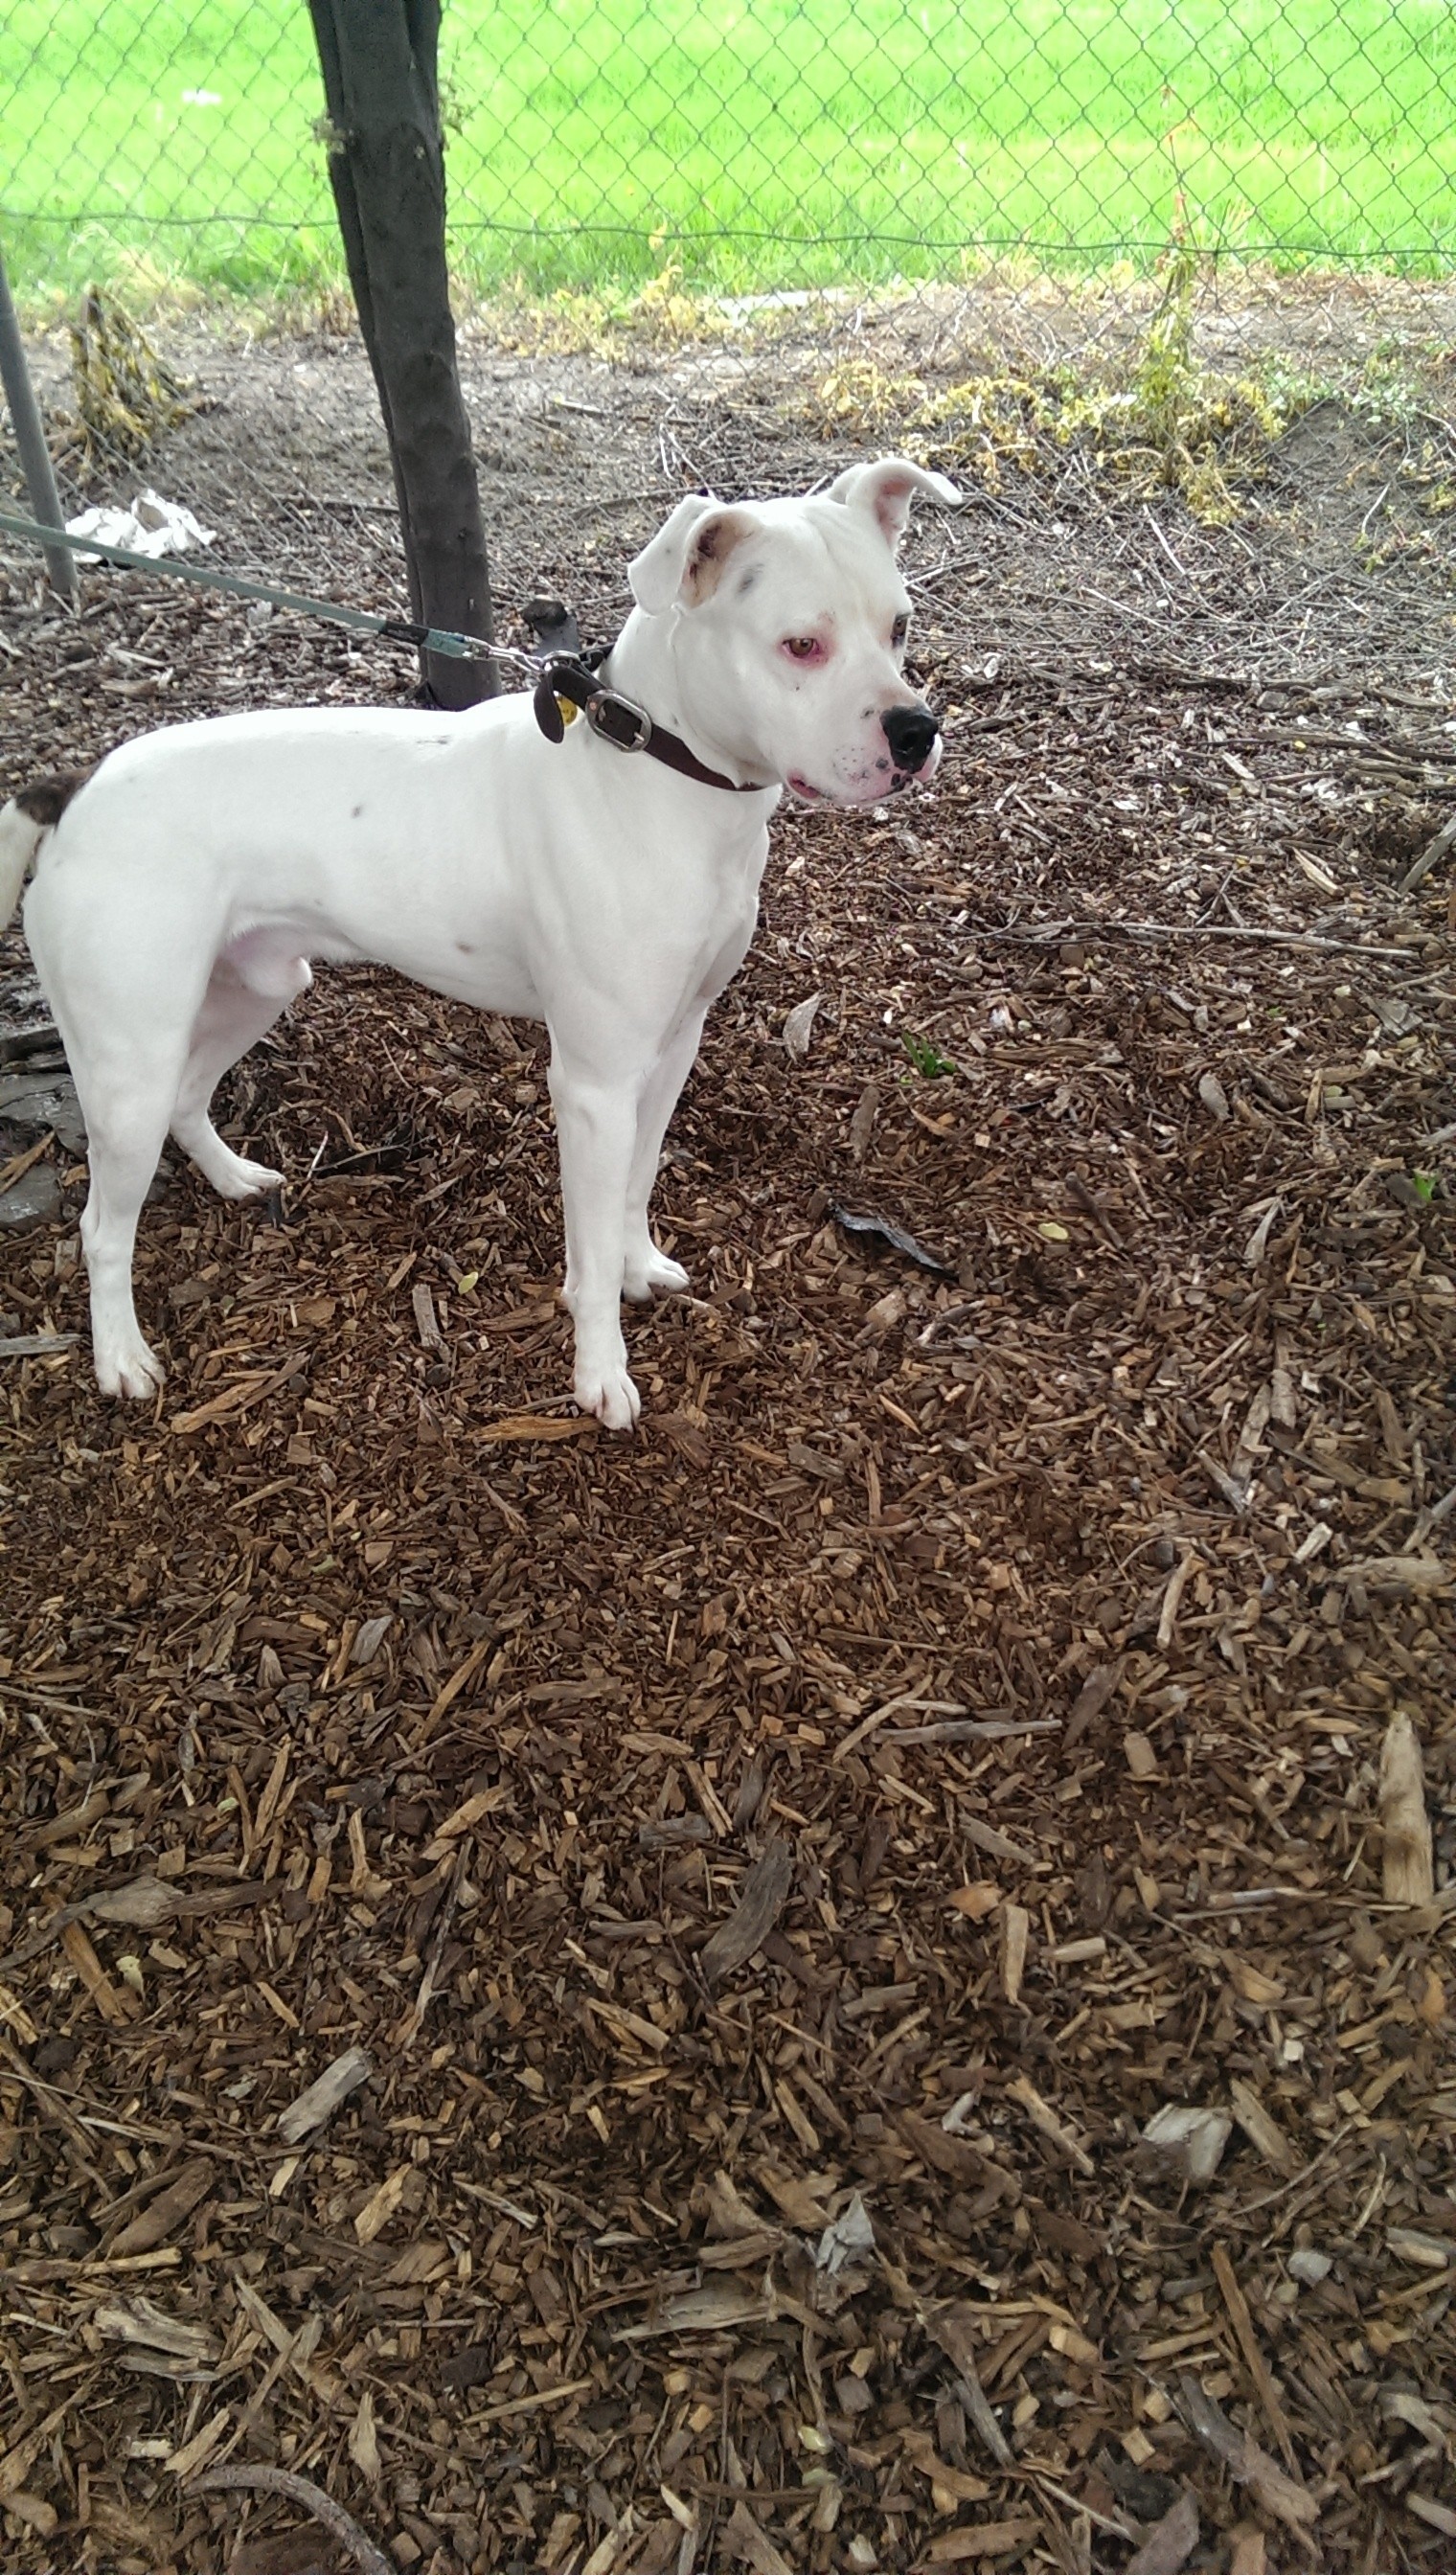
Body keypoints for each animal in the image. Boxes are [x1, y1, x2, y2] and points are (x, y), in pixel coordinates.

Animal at [0, 457, 958, 1430]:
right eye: (801, 645)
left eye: (899, 626)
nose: (916, 731)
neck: (655, 769)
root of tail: (73, 787)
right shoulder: (594, 1085)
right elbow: (589, 1246)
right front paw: (599, 1371)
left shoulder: (671, 1048)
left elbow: (636, 1183)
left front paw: (637, 1263)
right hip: (131, 1064)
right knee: (101, 1225)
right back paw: (121, 1358)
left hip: (255, 986)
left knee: (192, 1099)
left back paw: (235, 1178)